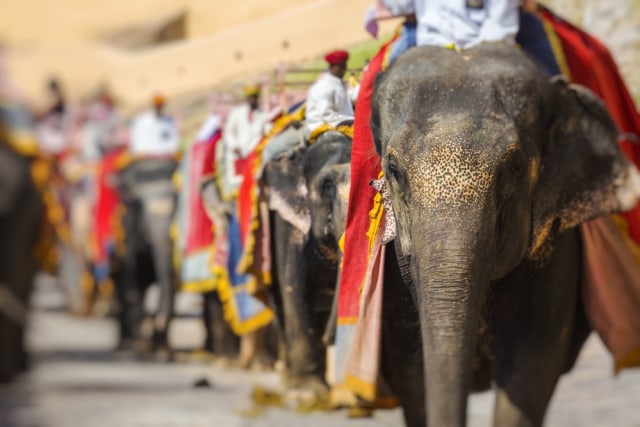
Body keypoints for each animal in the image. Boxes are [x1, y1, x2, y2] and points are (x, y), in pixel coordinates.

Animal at [111, 159, 179, 356]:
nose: (157, 321)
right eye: (138, 205)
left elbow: (170, 286)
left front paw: (162, 353)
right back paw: (126, 345)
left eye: (176, 205)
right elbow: (130, 286)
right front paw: (140, 347)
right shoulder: (127, 235)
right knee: (124, 291)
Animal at [258, 130, 352, 394]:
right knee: (282, 306)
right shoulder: (289, 225)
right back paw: (290, 381)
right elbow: (297, 290)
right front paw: (309, 390)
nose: (329, 339)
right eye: (327, 185)